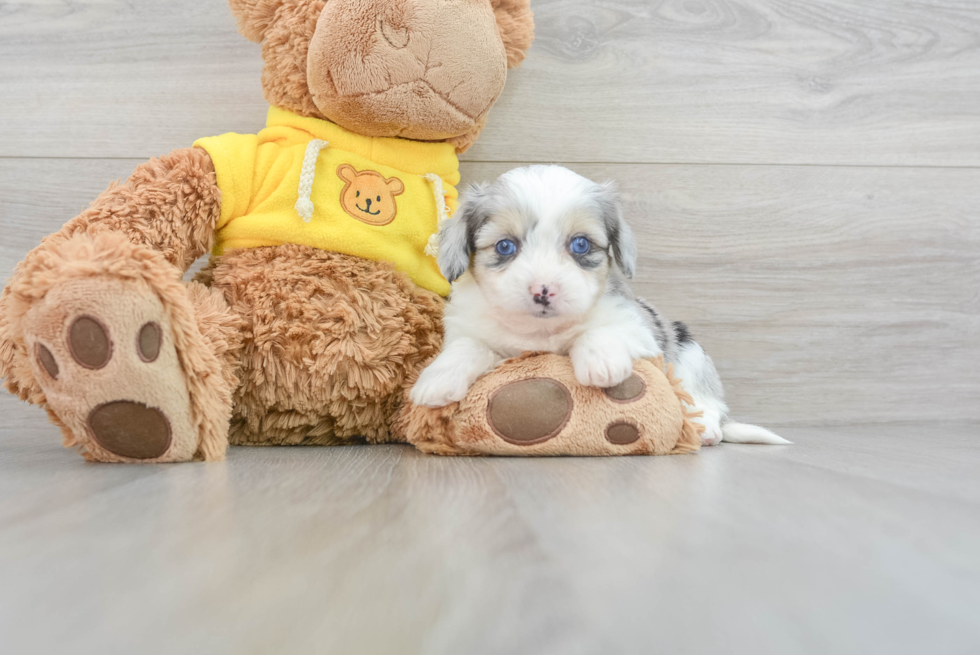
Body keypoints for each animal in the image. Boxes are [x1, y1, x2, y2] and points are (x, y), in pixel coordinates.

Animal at [412, 167, 788, 448]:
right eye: (505, 246)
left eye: (580, 244)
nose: (543, 290)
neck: (542, 331)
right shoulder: (470, 330)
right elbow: (467, 346)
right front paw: (437, 380)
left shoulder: (640, 332)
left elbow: (599, 331)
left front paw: (600, 362)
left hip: (689, 347)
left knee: (707, 400)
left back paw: (706, 427)